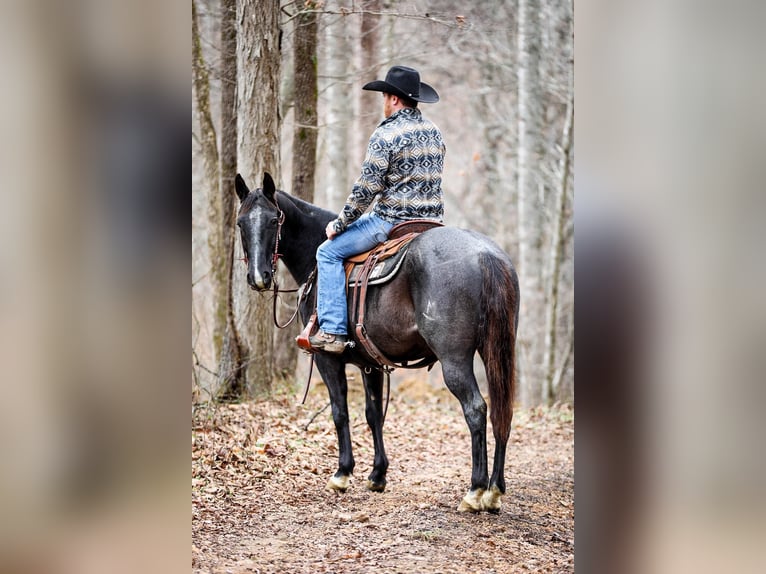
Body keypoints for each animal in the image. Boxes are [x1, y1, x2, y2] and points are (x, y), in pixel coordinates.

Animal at [234, 173, 520, 516]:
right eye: (240, 222)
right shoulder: (370, 364)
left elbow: (340, 411)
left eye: (274, 219)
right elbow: (373, 414)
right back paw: (494, 492)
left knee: (476, 410)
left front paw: (342, 473)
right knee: (502, 413)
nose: (258, 277)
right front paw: (377, 475)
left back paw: (475, 491)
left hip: (455, 360)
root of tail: (486, 255)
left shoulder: (328, 360)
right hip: (496, 352)